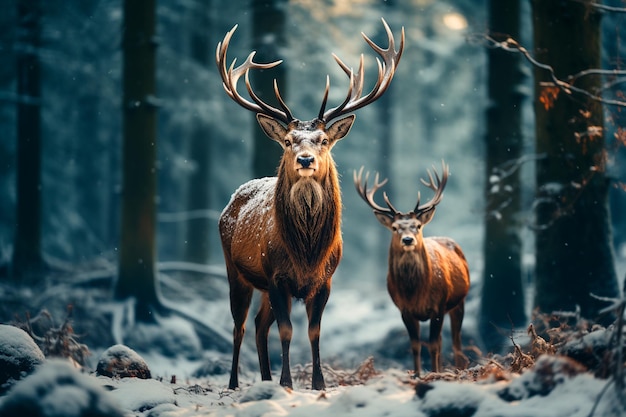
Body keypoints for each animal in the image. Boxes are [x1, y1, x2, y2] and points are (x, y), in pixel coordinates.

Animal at [354, 161, 466, 376]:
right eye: (395, 227)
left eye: (418, 225)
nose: (408, 239)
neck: (415, 291)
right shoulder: (405, 310)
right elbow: (415, 345)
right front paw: (417, 374)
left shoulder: (438, 306)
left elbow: (433, 345)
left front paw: (434, 374)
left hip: (459, 302)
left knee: (456, 342)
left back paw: (457, 369)